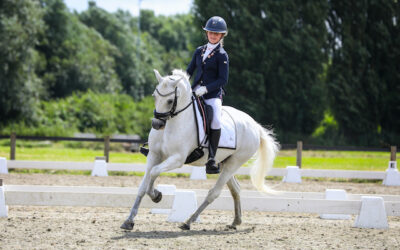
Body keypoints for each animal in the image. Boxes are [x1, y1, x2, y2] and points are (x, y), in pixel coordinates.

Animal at [120, 68, 280, 230]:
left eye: (170, 101)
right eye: (154, 96)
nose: (156, 124)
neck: (174, 122)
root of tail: (255, 126)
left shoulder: (177, 158)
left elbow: (154, 172)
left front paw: (156, 195)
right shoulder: (154, 155)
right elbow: (143, 185)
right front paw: (129, 220)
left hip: (235, 162)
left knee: (214, 193)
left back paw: (188, 221)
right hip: (225, 163)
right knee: (236, 189)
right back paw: (236, 221)